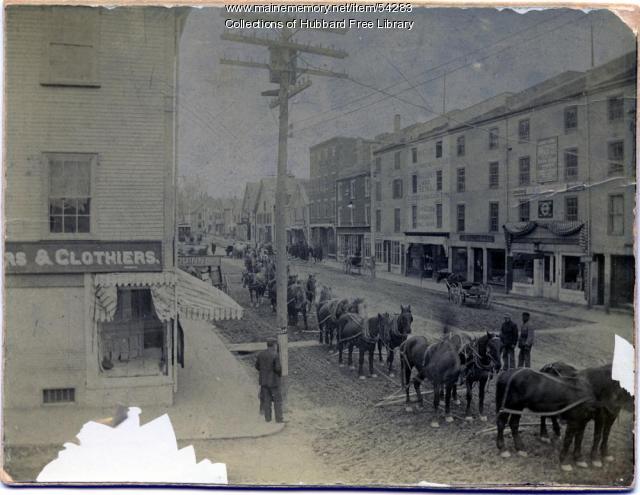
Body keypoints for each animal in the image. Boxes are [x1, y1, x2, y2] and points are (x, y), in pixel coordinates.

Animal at [492, 366, 632, 470]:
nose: (614, 409)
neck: (586, 388)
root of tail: (506, 374)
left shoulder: (583, 420)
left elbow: (579, 438)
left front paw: (579, 458)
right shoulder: (575, 420)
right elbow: (569, 439)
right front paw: (564, 462)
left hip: (518, 406)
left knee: (514, 424)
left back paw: (520, 448)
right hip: (509, 405)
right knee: (501, 423)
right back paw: (503, 448)